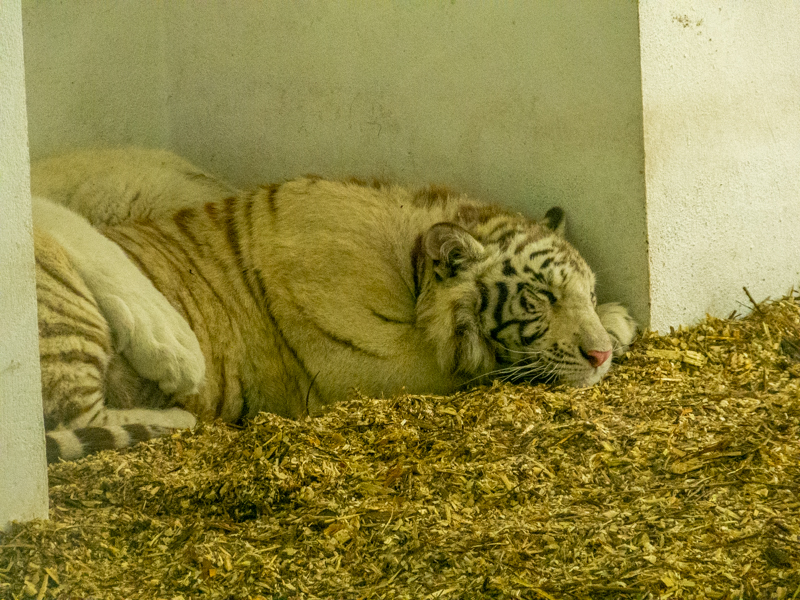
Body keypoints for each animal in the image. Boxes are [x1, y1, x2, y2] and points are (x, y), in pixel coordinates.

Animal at [32, 148, 636, 462]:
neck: (409, 273)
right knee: (82, 417)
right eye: (540, 298)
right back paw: (177, 418)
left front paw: (617, 321)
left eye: (586, 293)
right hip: (68, 309)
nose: (600, 357)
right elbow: (478, 373)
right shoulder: (367, 367)